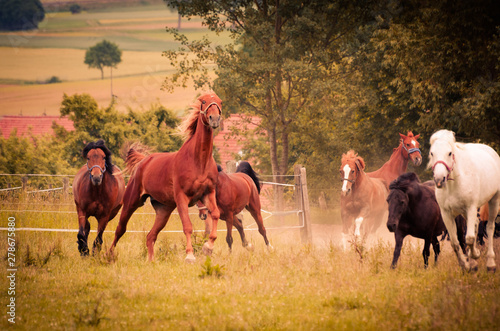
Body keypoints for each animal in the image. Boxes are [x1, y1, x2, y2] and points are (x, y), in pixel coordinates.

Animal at [110, 92, 222, 264]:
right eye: (204, 101)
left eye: (220, 102)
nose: (214, 119)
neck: (198, 161)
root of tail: (143, 161)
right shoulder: (182, 198)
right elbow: (187, 226)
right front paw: (190, 256)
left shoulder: (208, 193)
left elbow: (215, 214)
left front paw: (208, 247)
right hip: (131, 202)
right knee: (120, 229)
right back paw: (107, 255)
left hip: (164, 211)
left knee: (151, 236)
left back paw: (151, 261)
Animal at [428, 130, 500, 272]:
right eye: (432, 153)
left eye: (450, 153)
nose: (439, 179)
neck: (455, 183)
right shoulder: (446, 213)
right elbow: (455, 243)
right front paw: (466, 265)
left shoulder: (471, 208)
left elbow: (470, 238)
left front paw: (475, 255)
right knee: (476, 224)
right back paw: (473, 264)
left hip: (494, 200)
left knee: (489, 227)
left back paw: (490, 264)